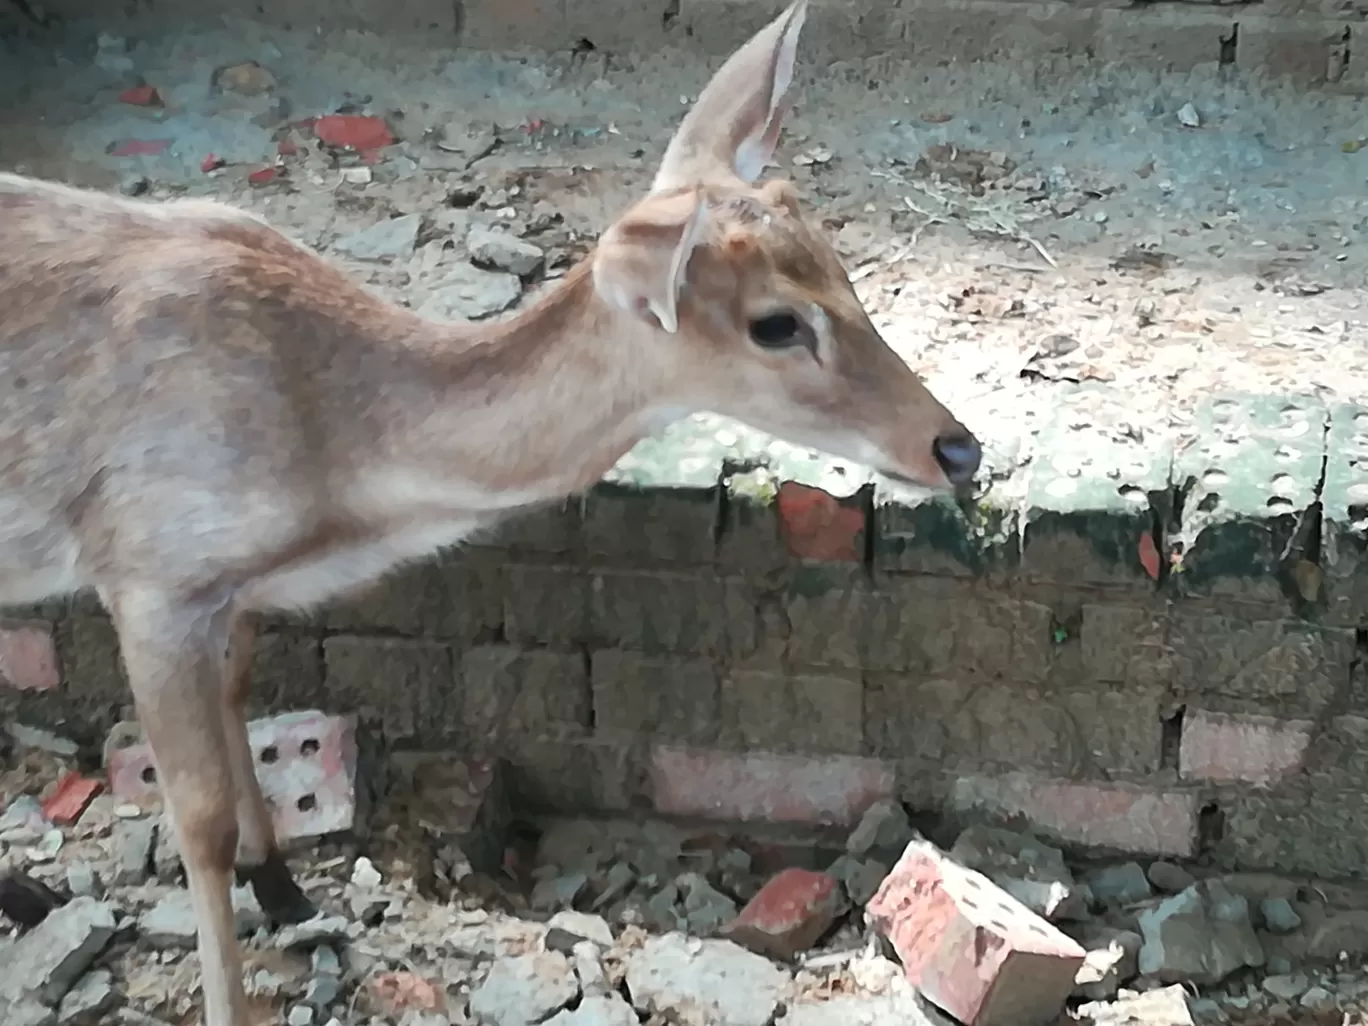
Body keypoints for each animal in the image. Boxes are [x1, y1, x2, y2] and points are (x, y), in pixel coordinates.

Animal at [0, 4, 984, 1023]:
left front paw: (290, 894)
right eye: (776, 323)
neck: (332, 467)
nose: (957, 448)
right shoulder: (148, 569)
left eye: (840, 266)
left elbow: (242, 700)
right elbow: (196, 818)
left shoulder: (225, 591)